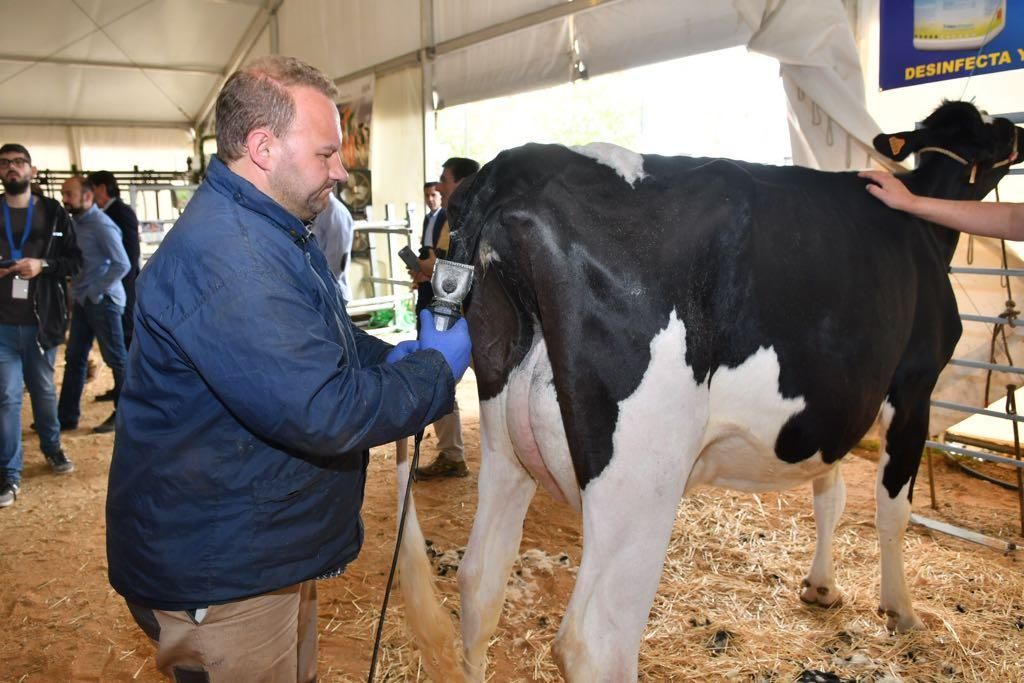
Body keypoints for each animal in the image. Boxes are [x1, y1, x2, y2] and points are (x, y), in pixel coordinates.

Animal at [397, 102, 1024, 683]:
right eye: (984, 129)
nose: (1014, 127)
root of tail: (513, 171)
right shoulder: (913, 386)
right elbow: (892, 509)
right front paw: (900, 611)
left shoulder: (829, 406)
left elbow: (829, 493)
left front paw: (821, 587)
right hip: (640, 473)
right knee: (594, 642)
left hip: (505, 443)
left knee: (481, 581)